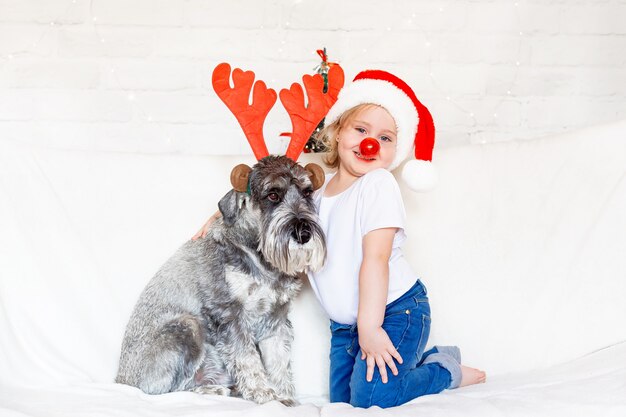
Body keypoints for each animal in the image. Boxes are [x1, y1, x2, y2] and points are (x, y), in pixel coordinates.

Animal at [115, 155, 326, 404]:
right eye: (273, 195)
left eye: (307, 192)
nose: (304, 234)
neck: (259, 257)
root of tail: (121, 380)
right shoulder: (230, 314)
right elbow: (247, 357)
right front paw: (262, 392)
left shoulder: (276, 318)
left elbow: (279, 360)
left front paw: (284, 396)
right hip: (187, 327)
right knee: (166, 391)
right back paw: (215, 390)